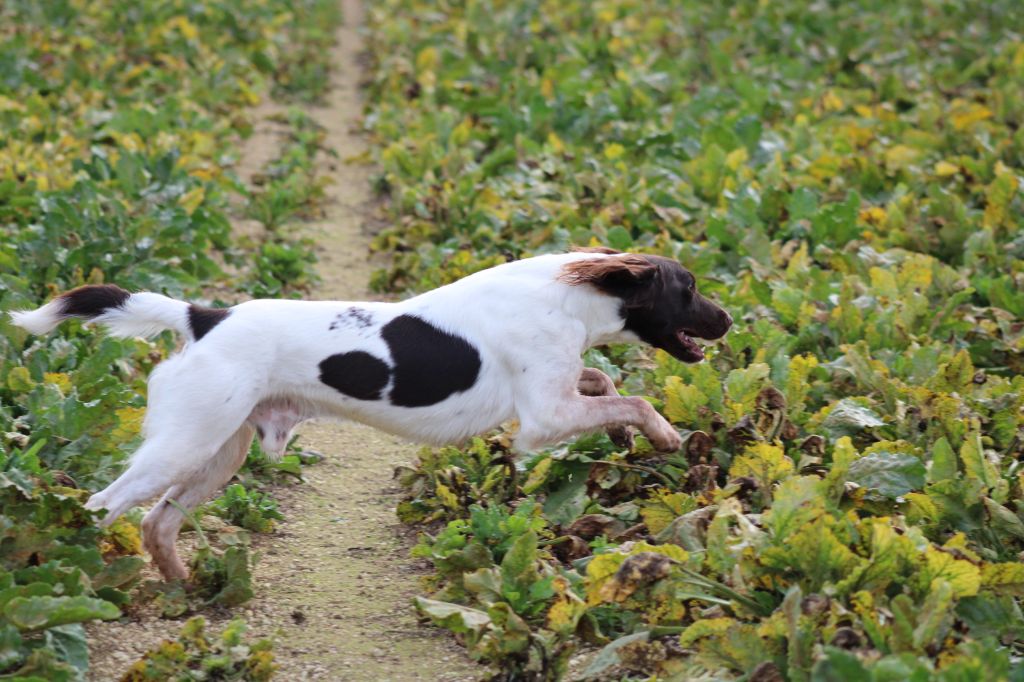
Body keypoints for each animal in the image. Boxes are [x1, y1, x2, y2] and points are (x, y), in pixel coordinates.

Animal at [9, 249, 729, 577]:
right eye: (689, 288)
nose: (729, 321)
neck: (571, 296)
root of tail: (204, 317)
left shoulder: (558, 394)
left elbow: (604, 381)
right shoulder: (544, 421)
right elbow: (632, 398)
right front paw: (666, 435)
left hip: (219, 451)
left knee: (157, 522)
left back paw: (187, 589)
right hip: (184, 445)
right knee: (105, 505)